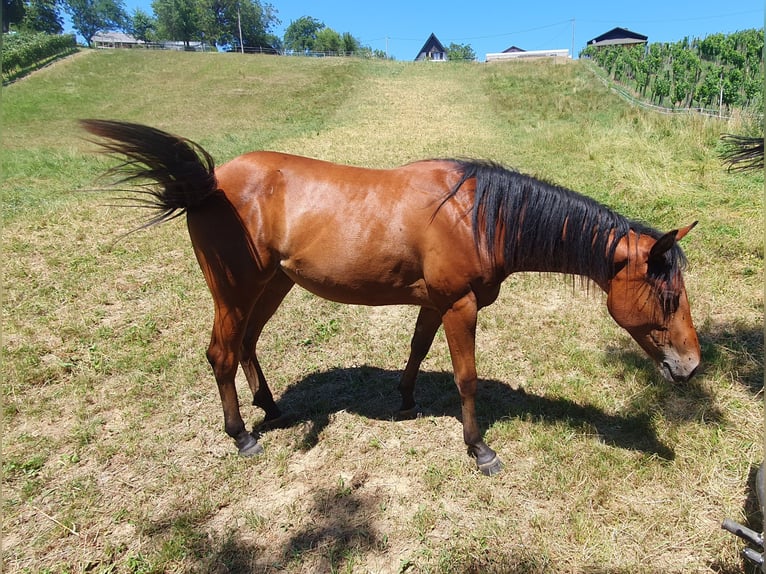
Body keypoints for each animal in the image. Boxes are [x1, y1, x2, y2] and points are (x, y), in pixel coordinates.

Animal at [82, 120, 701, 475]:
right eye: (668, 296)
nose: (692, 366)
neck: (477, 215)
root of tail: (210, 182)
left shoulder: (435, 302)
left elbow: (417, 351)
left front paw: (405, 400)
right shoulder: (460, 305)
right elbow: (466, 379)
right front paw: (479, 450)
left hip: (271, 284)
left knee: (248, 344)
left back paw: (270, 407)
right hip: (234, 289)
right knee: (221, 354)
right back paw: (241, 437)